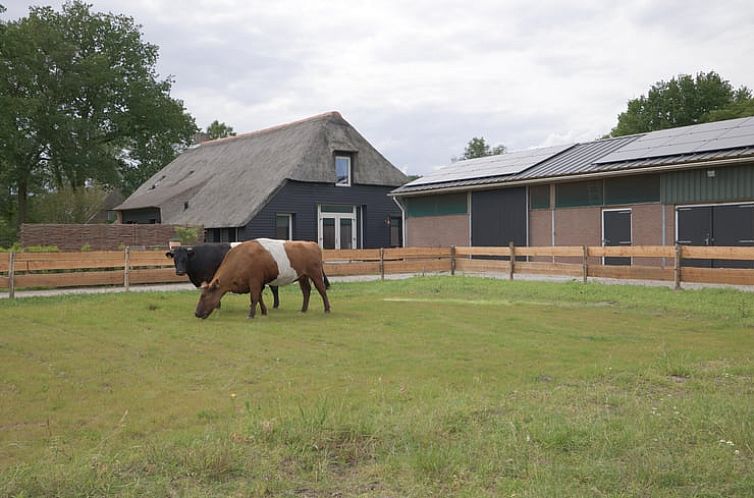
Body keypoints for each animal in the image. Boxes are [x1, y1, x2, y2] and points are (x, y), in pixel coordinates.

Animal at [194, 240, 328, 320]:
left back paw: (327, 309)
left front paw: (251, 315)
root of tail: (311, 244)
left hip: (315, 274)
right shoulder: (258, 283)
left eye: (204, 296)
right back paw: (303, 310)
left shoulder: (254, 280)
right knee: (306, 291)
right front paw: (264, 312)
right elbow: (259, 297)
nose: (196, 313)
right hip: (302, 277)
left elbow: (254, 298)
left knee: (322, 290)